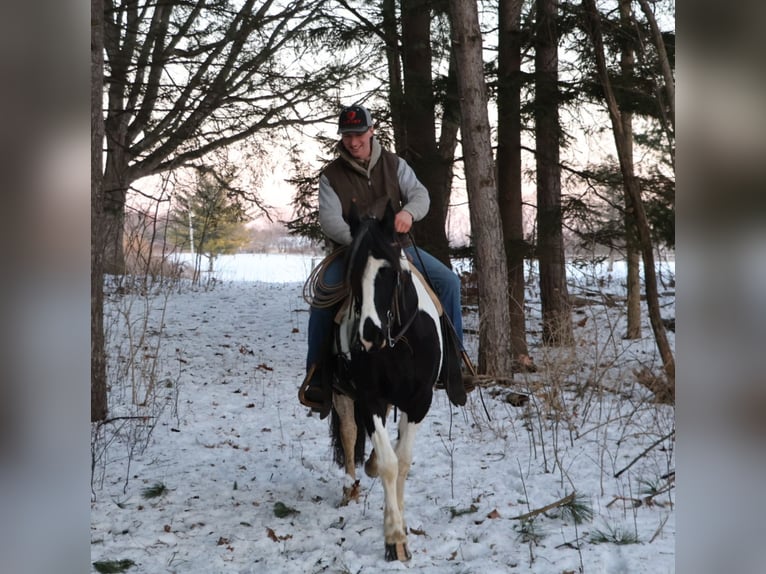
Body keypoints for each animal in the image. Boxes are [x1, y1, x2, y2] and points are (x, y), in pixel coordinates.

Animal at [327, 201, 465, 562]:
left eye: (389, 270)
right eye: (351, 270)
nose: (368, 334)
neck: (399, 342)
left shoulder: (419, 401)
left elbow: (401, 461)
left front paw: (400, 523)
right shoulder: (369, 398)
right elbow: (389, 462)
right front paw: (394, 539)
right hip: (341, 394)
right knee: (349, 435)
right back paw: (350, 488)